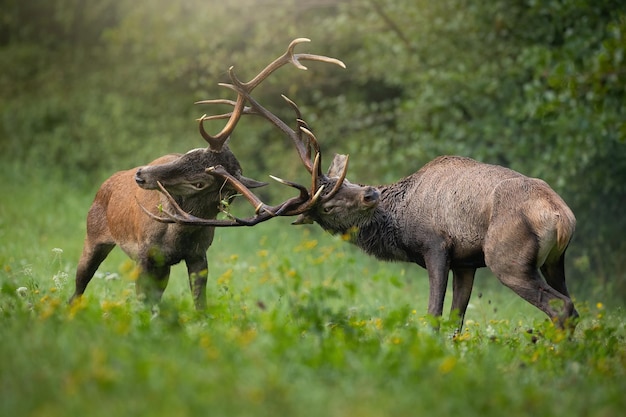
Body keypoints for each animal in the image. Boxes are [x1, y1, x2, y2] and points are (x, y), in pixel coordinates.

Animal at [69, 37, 344, 308]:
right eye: (186, 154)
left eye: (200, 183)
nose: (140, 174)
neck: (176, 236)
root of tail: (106, 184)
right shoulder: (145, 255)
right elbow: (142, 306)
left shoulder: (198, 256)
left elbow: (199, 306)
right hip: (92, 236)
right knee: (78, 288)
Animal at [154, 79, 576, 330]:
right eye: (328, 207)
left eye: (346, 183)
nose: (370, 193)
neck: (403, 227)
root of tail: (561, 216)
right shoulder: (465, 261)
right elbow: (454, 321)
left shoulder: (435, 245)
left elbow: (433, 315)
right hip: (553, 261)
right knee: (570, 303)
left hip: (507, 258)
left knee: (562, 307)